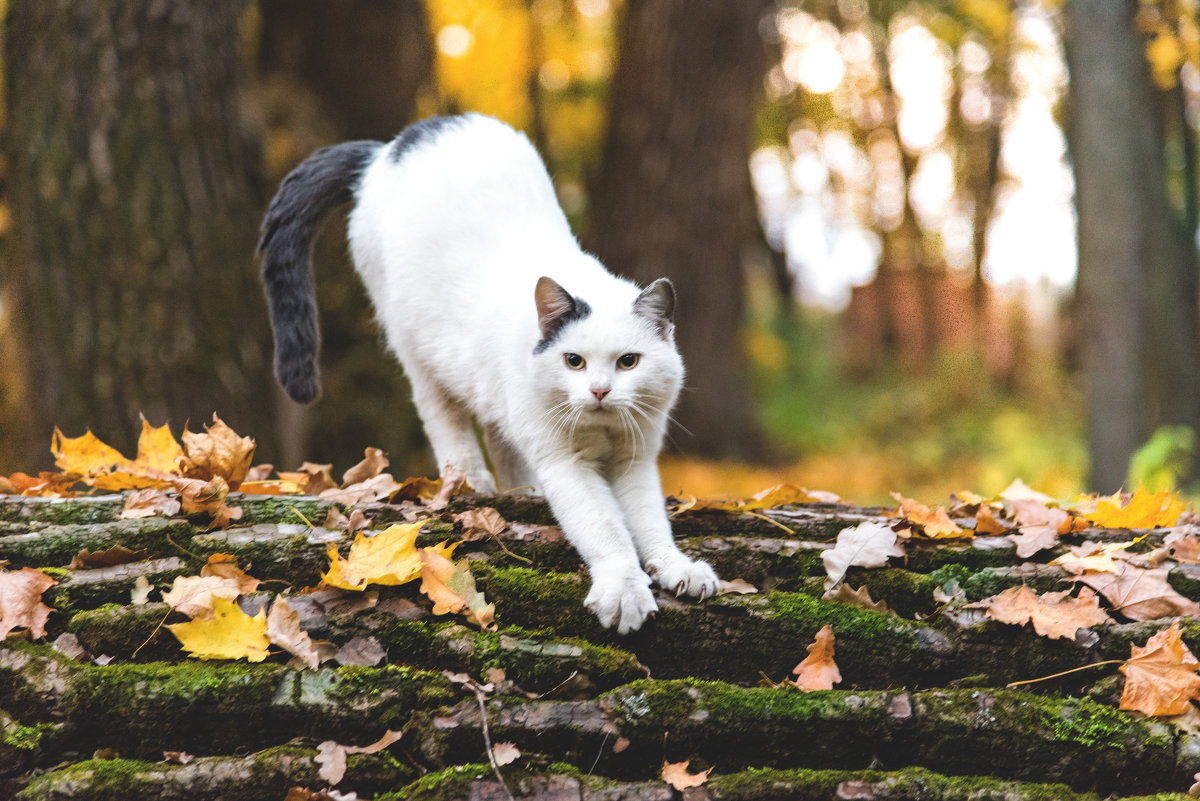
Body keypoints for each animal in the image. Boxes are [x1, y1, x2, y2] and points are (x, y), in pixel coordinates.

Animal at [258, 112, 715, 633]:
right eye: (574, 361)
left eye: (628, 362)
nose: (600, 391)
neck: (600, 433)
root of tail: (387, 148)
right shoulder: (566, 464)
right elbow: (606, 529)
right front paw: (624, 591)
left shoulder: (635, 461)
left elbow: (650, 522)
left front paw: (677, 568)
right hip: (417, 350)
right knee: (447, 423)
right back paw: (469, 485)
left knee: (501, 437)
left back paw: (522, 491)